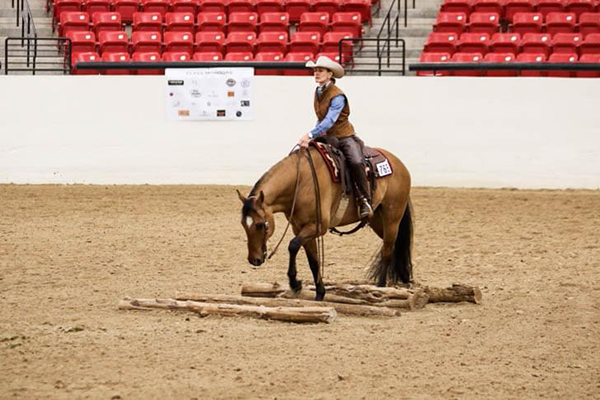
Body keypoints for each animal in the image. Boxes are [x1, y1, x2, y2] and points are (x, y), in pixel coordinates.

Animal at [237, 141, 414, 300]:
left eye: (260, 225)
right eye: (243, 225)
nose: (254, 260)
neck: (300, 182)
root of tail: (399, 164)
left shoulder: (317, 226)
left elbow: (293, 245)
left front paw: (295, 283)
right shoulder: (301, 228)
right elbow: (313, 261)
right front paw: (319, 292)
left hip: (392, 217)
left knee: (387, 251)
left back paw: (381, 287)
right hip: (378, 220)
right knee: (394, 246)